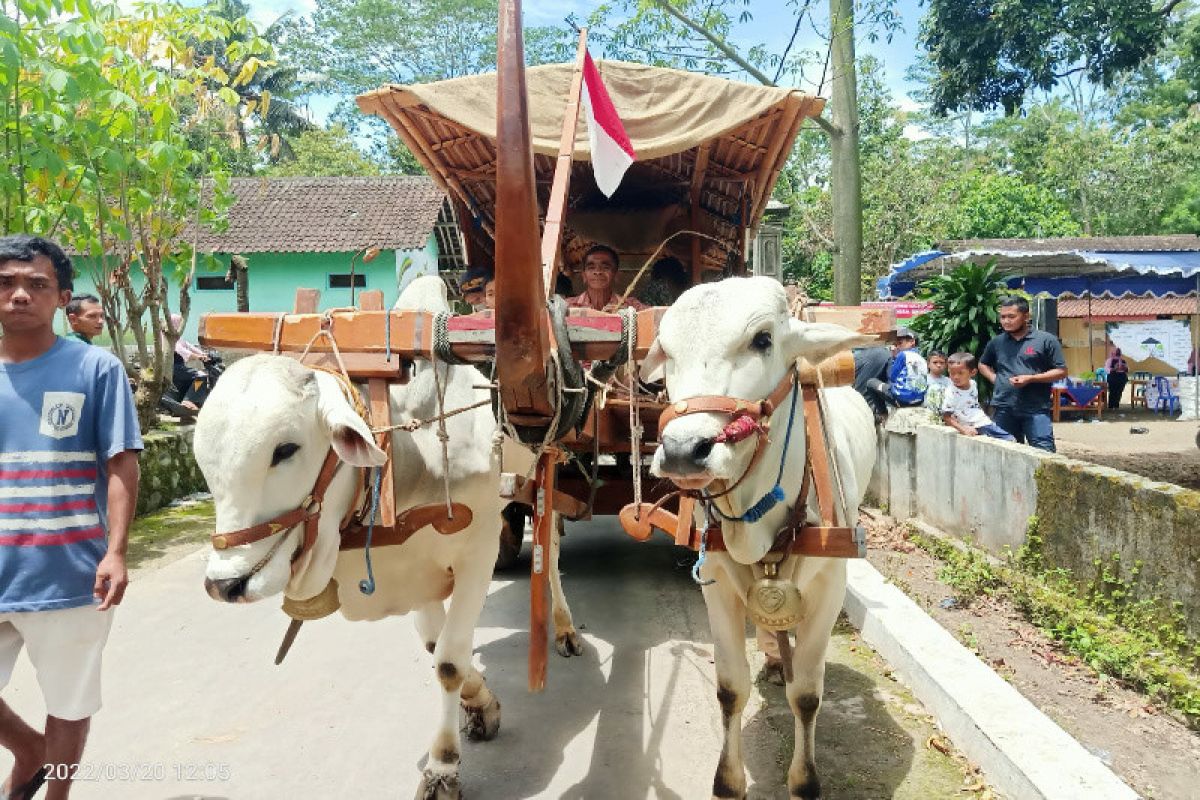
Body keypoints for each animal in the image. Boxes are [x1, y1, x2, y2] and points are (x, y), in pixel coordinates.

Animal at [195, 277, 511, 800]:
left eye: (285, 450)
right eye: (202, 458)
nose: (225, 584)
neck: (410, 450)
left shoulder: (480, 547)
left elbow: (449, 660)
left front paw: (443, 767)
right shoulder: (416, 574)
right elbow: (439, 649)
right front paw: (481, 703)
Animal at [643, 277, 878, 800]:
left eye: (763, 339)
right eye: (666, 349)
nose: (683, 450)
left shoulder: (830, 585)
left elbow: (806, 695)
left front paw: (804, 781)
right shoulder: (716, 582)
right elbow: (730, 689)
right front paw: (728, 782)